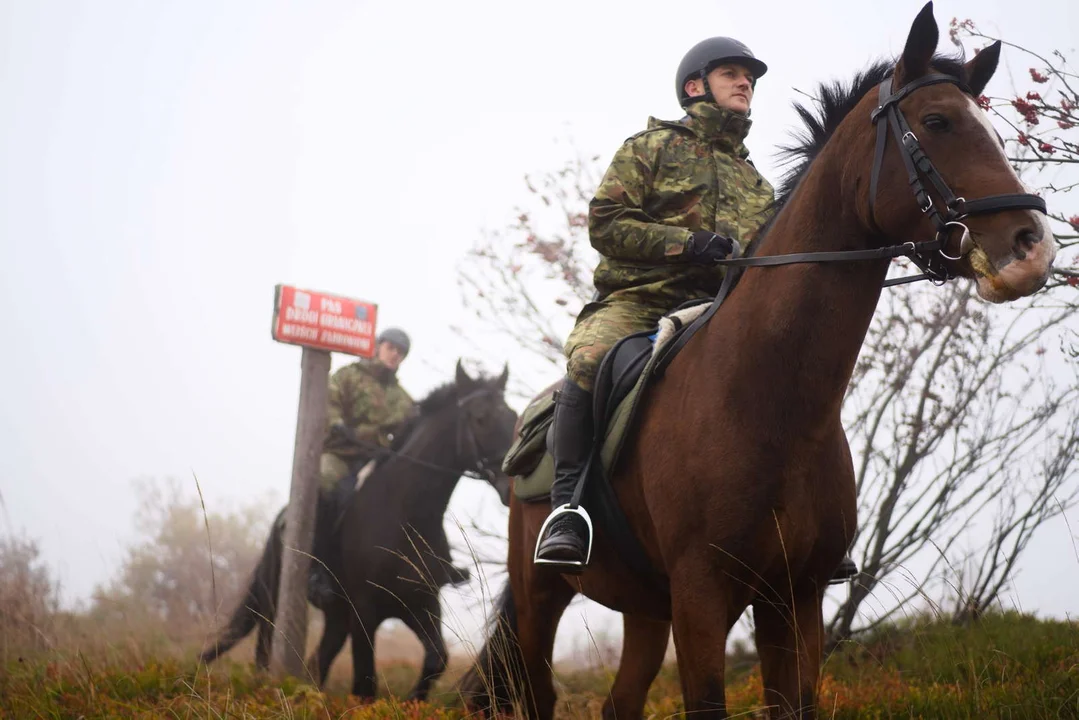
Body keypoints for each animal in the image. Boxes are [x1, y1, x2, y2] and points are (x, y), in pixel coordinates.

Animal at [206, 362, 522, 699]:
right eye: (480, 418)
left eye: (513, 415)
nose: (510, 487)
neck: (405, 513)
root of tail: (283, 519)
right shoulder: (364, 611)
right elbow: (365, 682)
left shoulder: (422, 604)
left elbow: (436, 659)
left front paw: (413, 700)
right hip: (276, 602)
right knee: (265, 652)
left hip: (337, 616)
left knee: (317, 663)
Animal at [461, 4, 1053, 716]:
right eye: (937, 121)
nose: (1032, 246)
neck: (771, 404)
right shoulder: (702, 597)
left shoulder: (794, 599)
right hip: (542, 599)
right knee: (537, 689)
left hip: (645, 609)